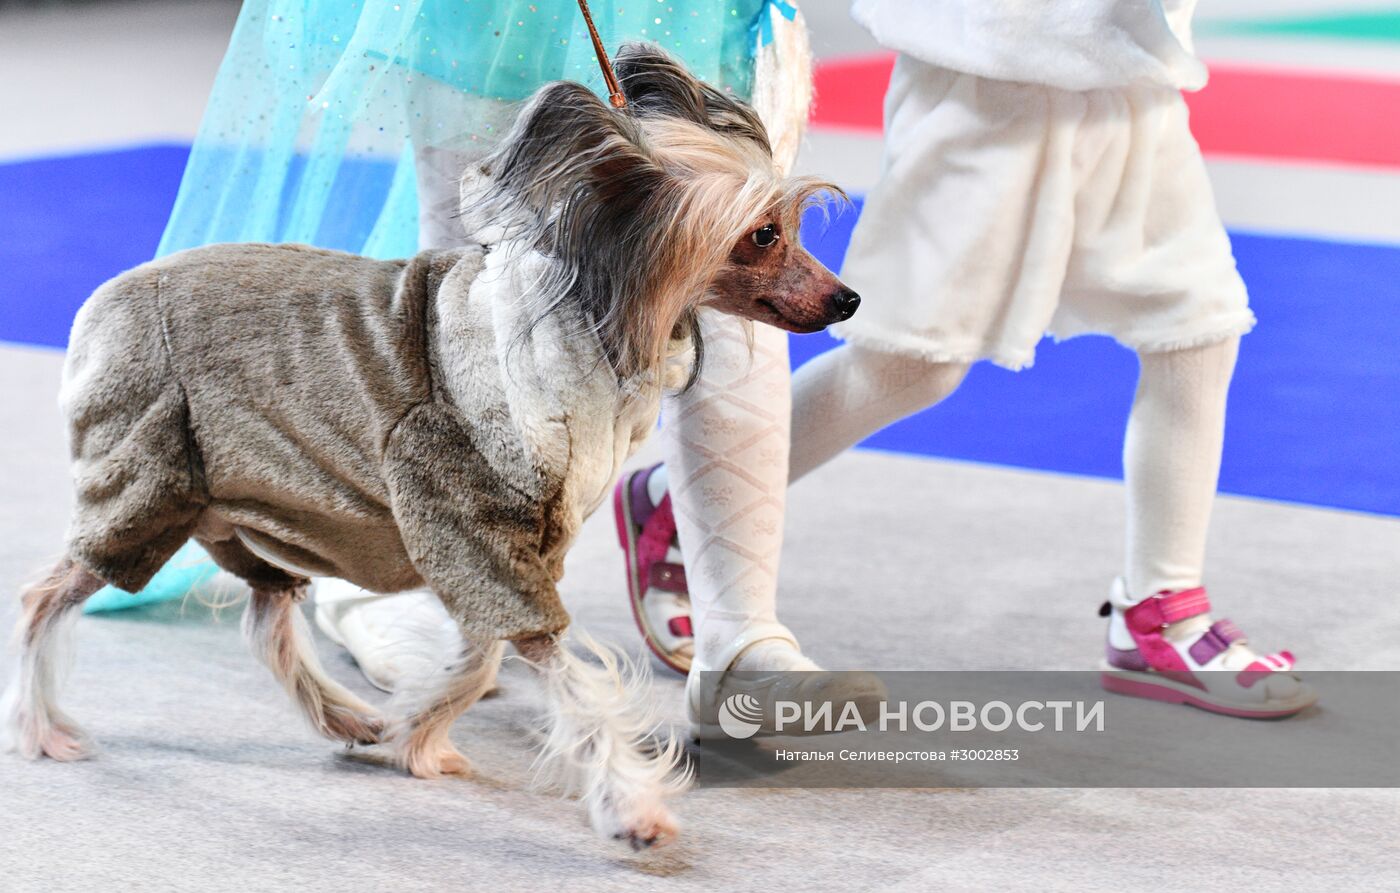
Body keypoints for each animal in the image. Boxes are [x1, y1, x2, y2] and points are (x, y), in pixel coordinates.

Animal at [0, 43, 856, 851]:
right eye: (762, 235)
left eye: (793, 224)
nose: (847, 298)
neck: (586, 318)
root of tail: (105, 300)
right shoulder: (472, 528)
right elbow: (565, 678)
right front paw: (630, 806)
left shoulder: (512, 545)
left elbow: (478, 660)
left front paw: (415, 736)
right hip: (145, 485)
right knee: (45, 597)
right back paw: (40, 727)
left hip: (249, 507)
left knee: (266, 620)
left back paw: (347, 717)